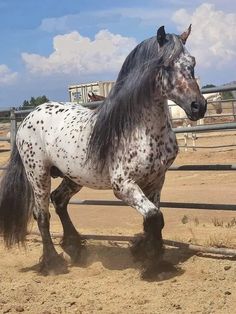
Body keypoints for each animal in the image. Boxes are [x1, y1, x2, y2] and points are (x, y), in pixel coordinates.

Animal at [0, 25, 206, 274]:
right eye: (165, 65)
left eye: (192, 62)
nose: (198, 107)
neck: (142, 130)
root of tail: (29, 117)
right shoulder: (123, 185)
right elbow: (154, 217)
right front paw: (153, 264)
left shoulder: (156, 180)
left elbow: (155, 219)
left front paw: (145, 253)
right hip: (38, 174)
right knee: (42, 215)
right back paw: (54, 263)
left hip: (73, 176)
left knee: (59, 200)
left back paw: (74, 247)